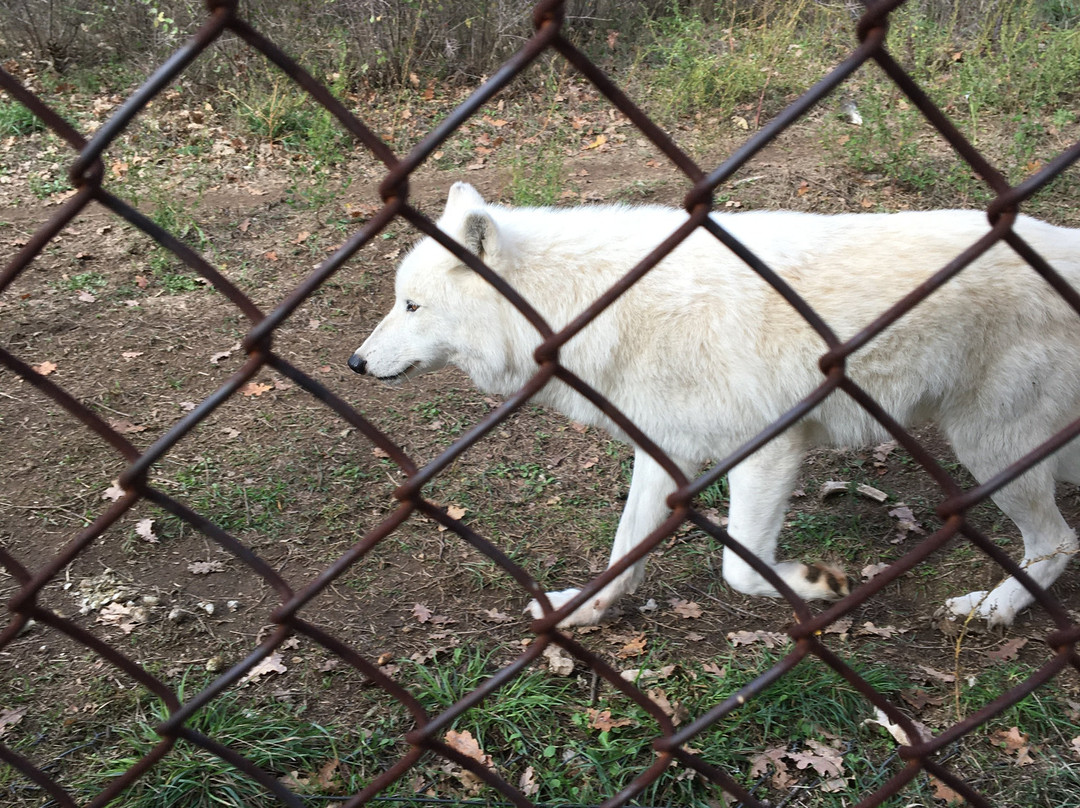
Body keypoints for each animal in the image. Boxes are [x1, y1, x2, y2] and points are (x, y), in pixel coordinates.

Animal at [347, 180, 1080, 626]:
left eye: (412, 306)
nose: (354, 362)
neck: (589, 305)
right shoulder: (663, 453)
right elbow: (624, 554)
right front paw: (582, 612)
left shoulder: (768, 450)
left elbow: (739, 569)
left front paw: (814, 585)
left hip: (990, 449)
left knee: (1056, 541)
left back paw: (994, 609)